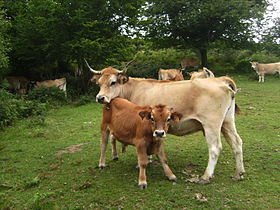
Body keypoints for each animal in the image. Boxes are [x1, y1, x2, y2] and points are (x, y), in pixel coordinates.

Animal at [85, 60, 245, 184]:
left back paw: (206, 177)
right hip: (227, 122)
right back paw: (239, 173)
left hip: (211, 124)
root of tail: (221, 80)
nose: (100, 98)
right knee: (237, 143)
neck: (133, 90)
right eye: (99, 83)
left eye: (112, 82)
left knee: (215, 148)